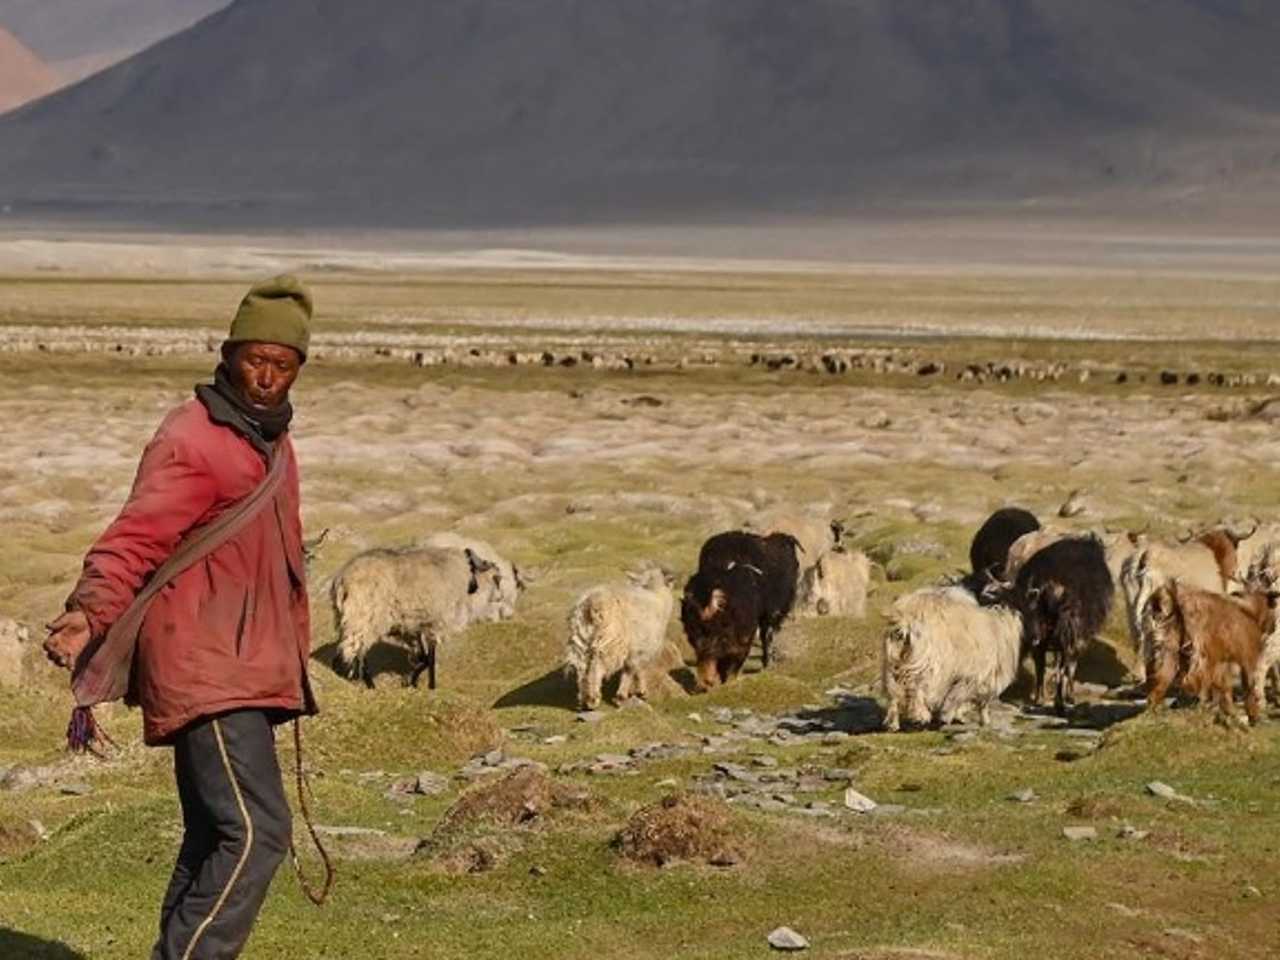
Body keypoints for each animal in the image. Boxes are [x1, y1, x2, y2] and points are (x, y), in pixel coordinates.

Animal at [330, 547, 499, 691]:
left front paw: (413, 681)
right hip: (364, 619)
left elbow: (423, 657)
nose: (498, 598)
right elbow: (430, 658)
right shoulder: (434, 624)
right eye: (496, 578)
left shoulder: (414, 627)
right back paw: (369, 685)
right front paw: (431, 686)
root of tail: (342, 579)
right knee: (356, 652)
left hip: (349, 619)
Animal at [565, 563, 675, 716]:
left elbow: (632, 669)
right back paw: (592, 699)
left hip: (581, 639)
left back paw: (584, 700)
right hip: (610, 640)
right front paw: (632, 693)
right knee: (596, 667)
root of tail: (592, 603)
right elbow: (634, 669)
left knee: (582, 668)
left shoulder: (635, 649)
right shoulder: (640, 648)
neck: (653, 591)